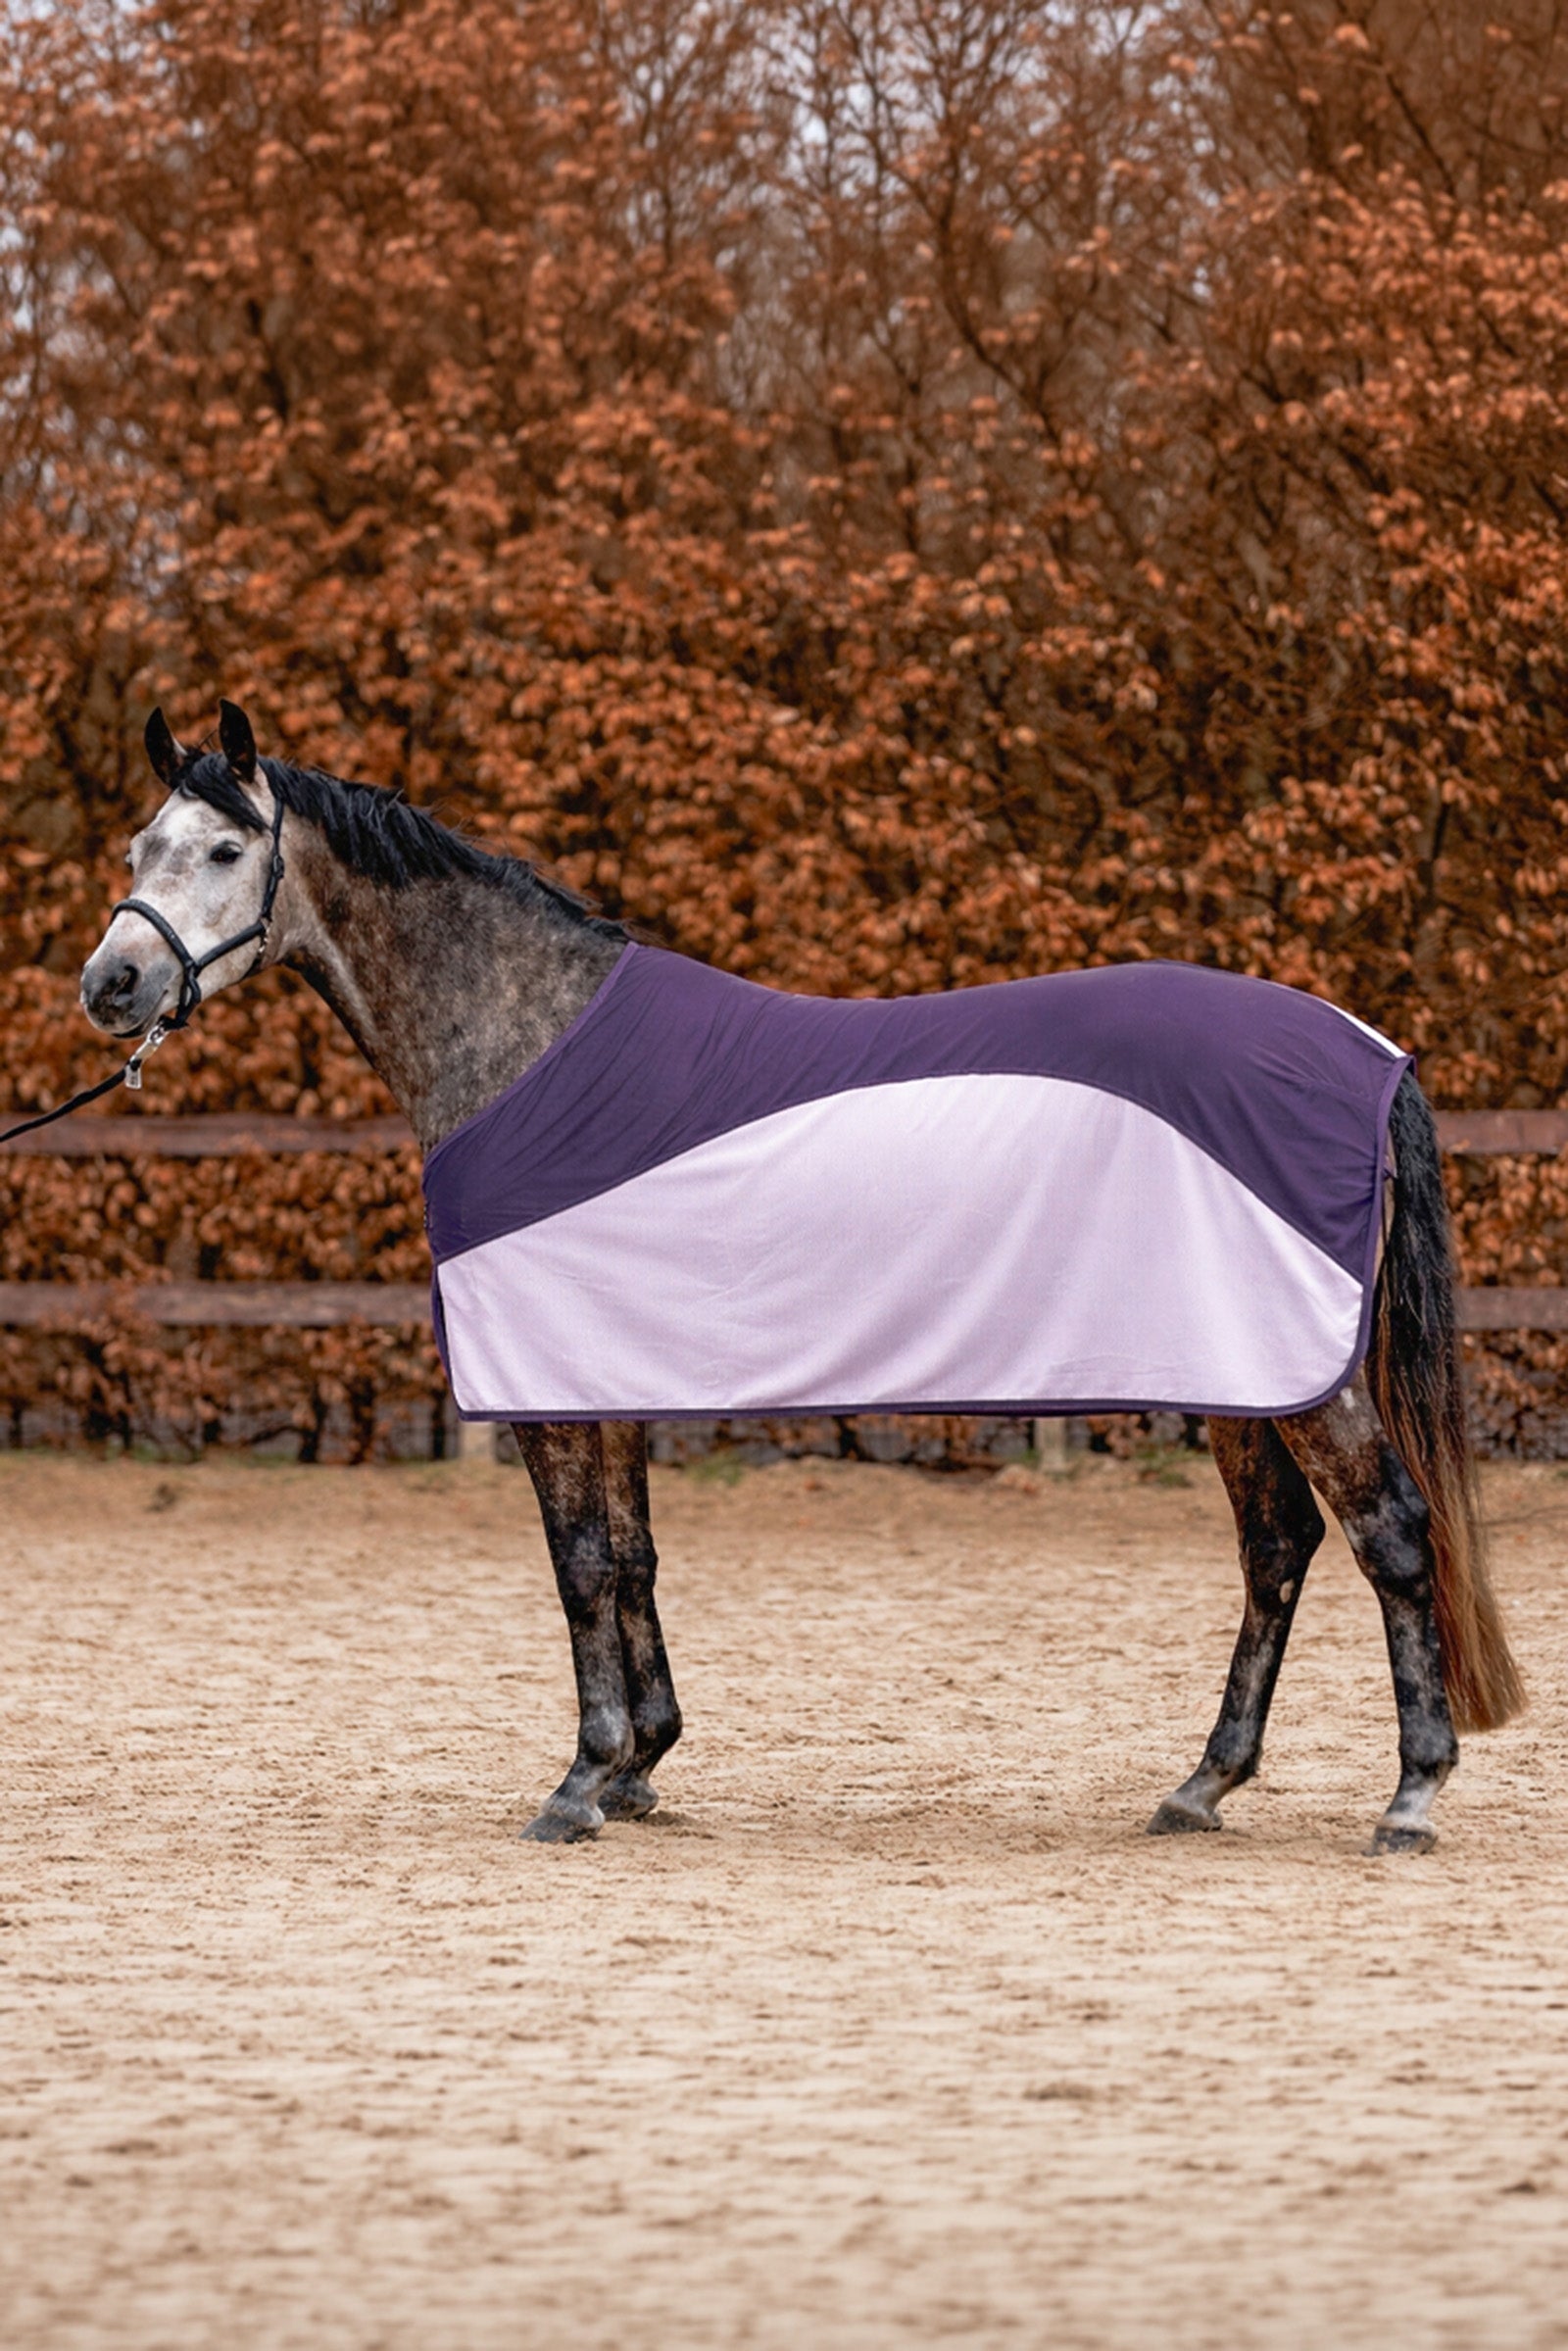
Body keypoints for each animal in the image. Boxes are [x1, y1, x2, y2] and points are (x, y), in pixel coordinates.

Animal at [75, 700, 1524, 1854]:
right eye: (139, 847)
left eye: (223, 850)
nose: (112, 981)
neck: (528, 1038)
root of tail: (1368, 1048)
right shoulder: (606, 1363)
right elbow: (634, 1555)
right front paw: (642, 1763)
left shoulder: (550, 1383)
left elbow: (582, 1562)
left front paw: (581, 1781)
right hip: (1238, 1371)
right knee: (1278, 1548)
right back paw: (1201, 1785)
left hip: (1303, 1376)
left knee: (1393, 1534)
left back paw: (1409, 1797)